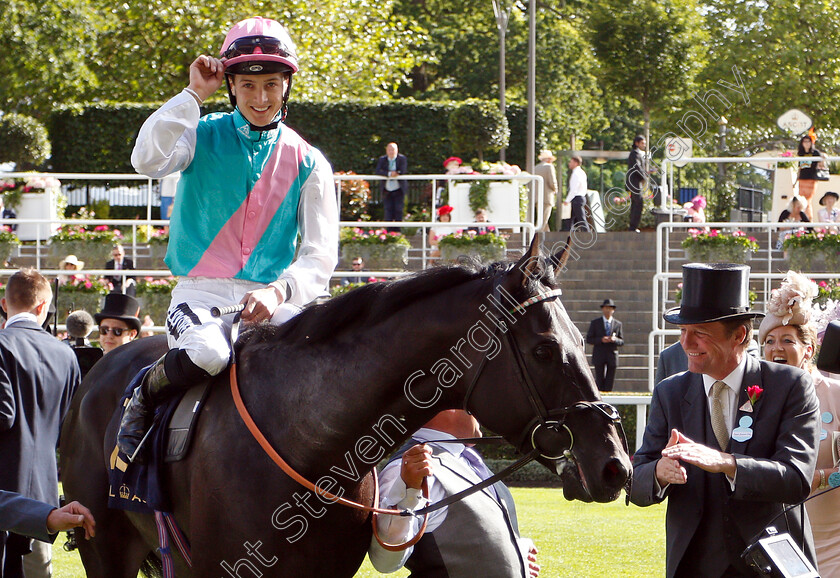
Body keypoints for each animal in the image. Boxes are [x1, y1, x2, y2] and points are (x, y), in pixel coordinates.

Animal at [60, 241, 632, 572]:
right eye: (545, 350)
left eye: (580, 341)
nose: (614, 463)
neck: (309, 438)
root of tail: (100, 369)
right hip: (106, 545)